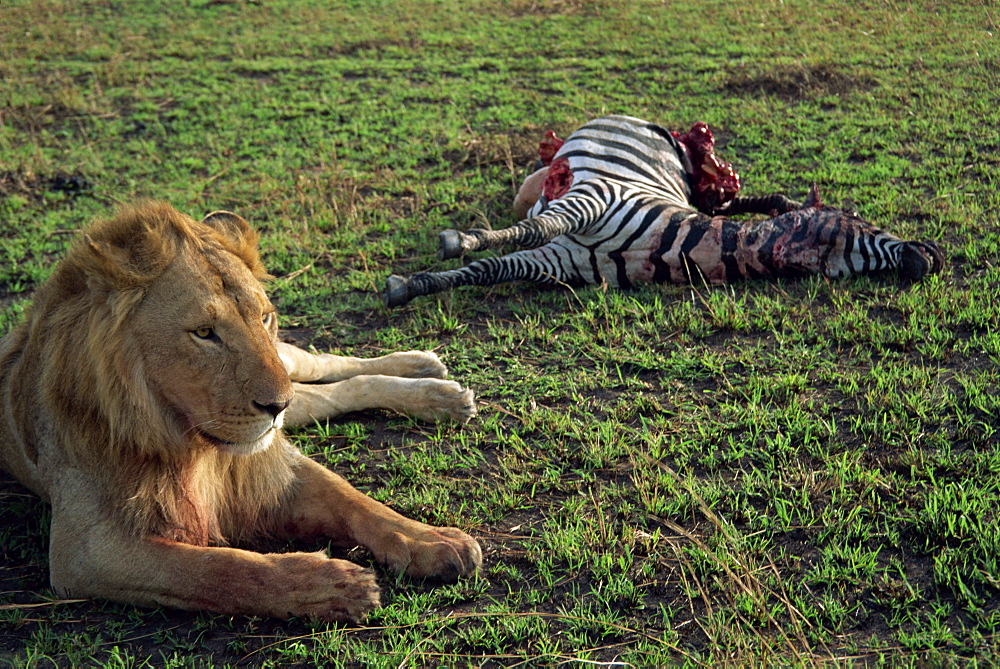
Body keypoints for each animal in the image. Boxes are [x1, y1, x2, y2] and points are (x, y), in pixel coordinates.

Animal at [0, 200, 480, 620]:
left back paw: (431, 379)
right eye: (204, 333)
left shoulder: (272, 466)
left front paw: (432, 539)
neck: (185, 439)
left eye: (264, 318)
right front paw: (327, 586)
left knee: (329, 365)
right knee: (334, 391)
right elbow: (215, 568)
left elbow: (356, 502)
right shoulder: (85, 551)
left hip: (286, 363)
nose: (277, 405)